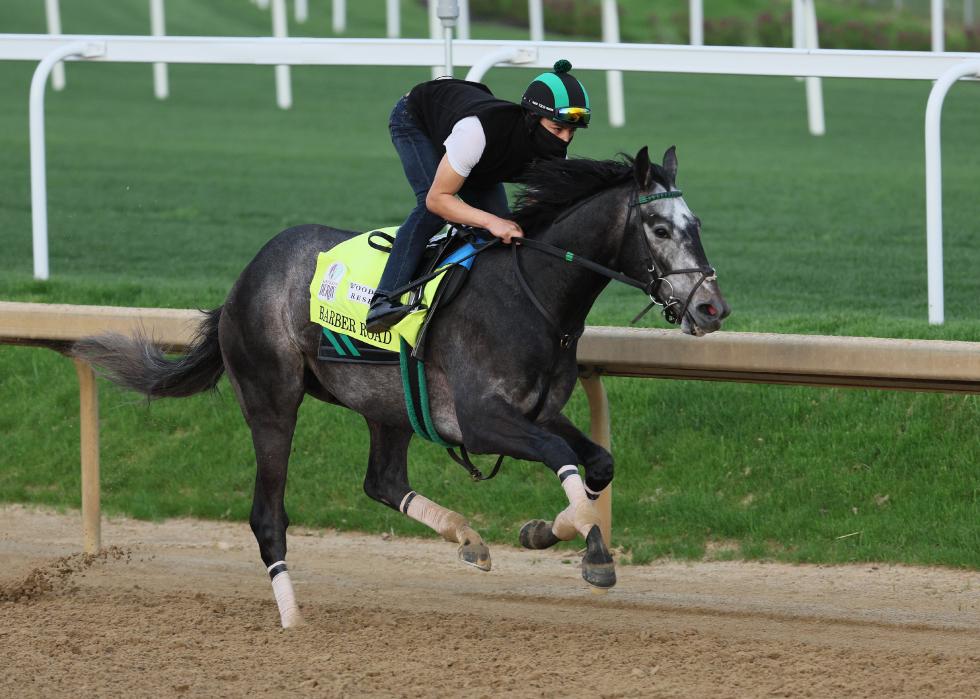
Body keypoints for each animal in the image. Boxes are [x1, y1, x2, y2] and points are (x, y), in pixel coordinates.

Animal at [74, 148, 728, 628]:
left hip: (387, 406)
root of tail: (241, 282)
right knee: (267, 515)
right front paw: (586, 548)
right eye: (659, 227)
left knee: (383, 481)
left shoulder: (537, 410)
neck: (532, 295)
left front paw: (551, 532)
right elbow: (562, 457)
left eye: (697, 225)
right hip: (271, 402)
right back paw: (293, 617)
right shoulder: (483, 419)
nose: (712, 308)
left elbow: (597, 463)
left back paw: (468, 538)